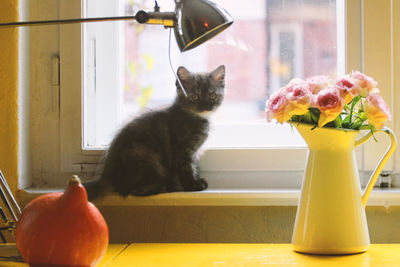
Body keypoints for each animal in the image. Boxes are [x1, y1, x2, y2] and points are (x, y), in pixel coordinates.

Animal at [83, 66, 225, 202]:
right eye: (195, 97)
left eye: (212, 96)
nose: (206, 106)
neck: (195, 116)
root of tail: (107, 176)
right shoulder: (182, 152)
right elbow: (187, 169)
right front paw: (193, 186)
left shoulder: (193, 153)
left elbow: (194, 166)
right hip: (146, 155)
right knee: (136, 190)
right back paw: (168, 187)